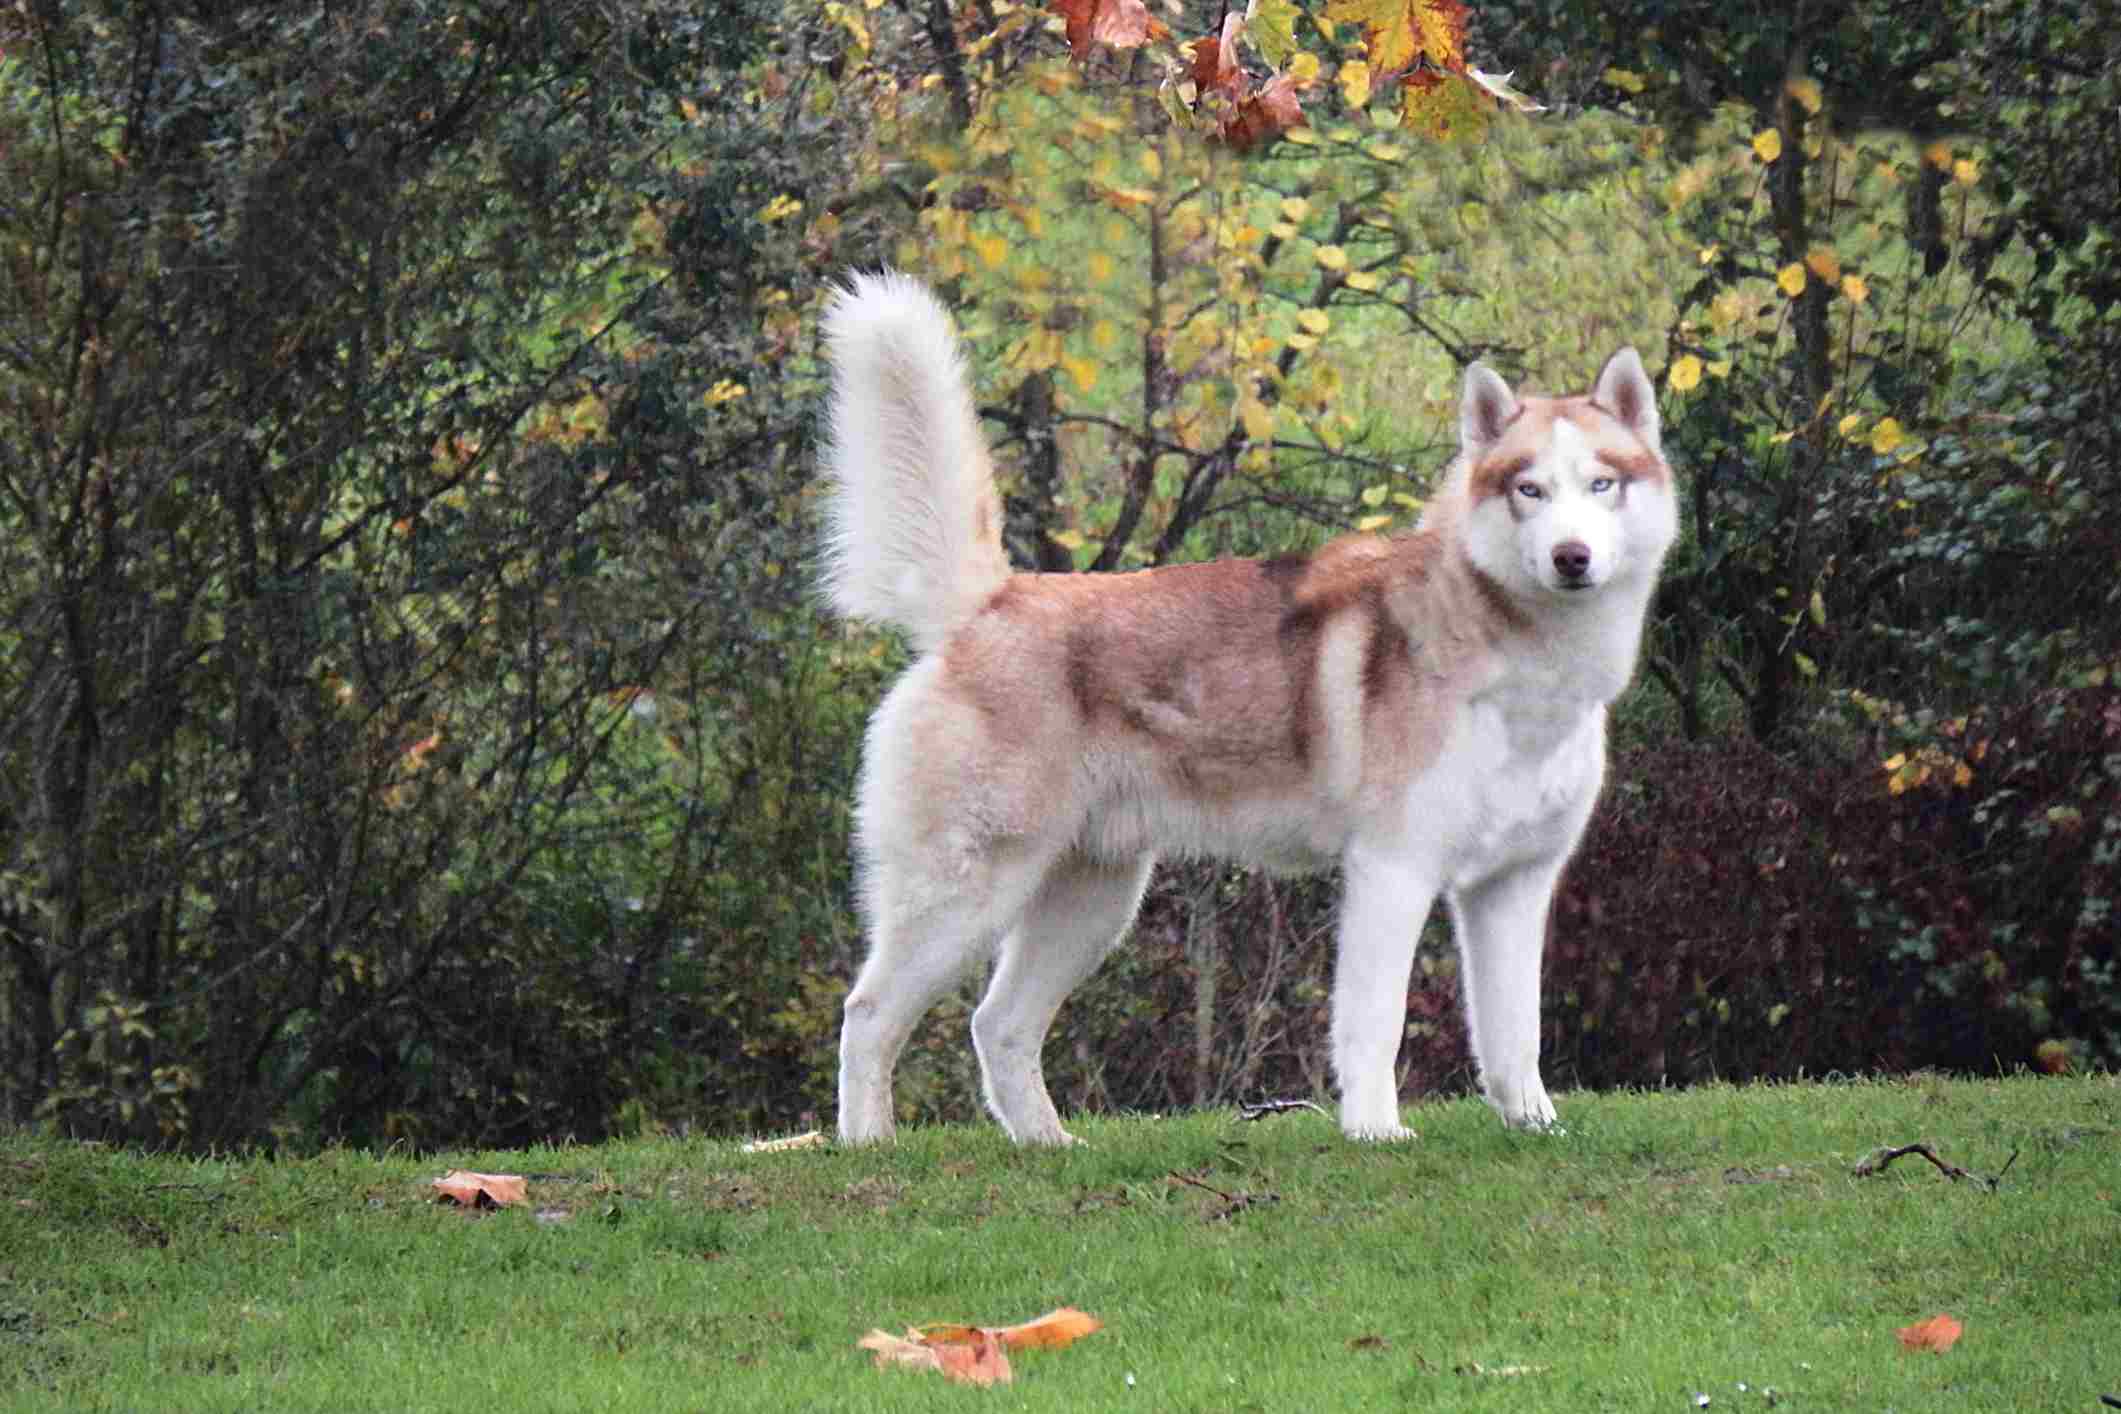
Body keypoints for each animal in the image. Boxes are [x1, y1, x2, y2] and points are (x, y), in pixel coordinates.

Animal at [818, 271, 1679, 1144]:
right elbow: (1376, 1024)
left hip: (1092, 903)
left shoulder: (1511, 887)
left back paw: (1049, 1146)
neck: (1523, 668)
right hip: (966, 893)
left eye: (1601, 484)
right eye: (1527, 489)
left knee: (997, 1025)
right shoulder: (1393, 872)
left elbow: (1514, 1034)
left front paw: (1534, 1126)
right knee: (868, 1014)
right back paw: (869, 1145)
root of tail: (990, 601)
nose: (1571, 557)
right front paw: (1375, 1134)